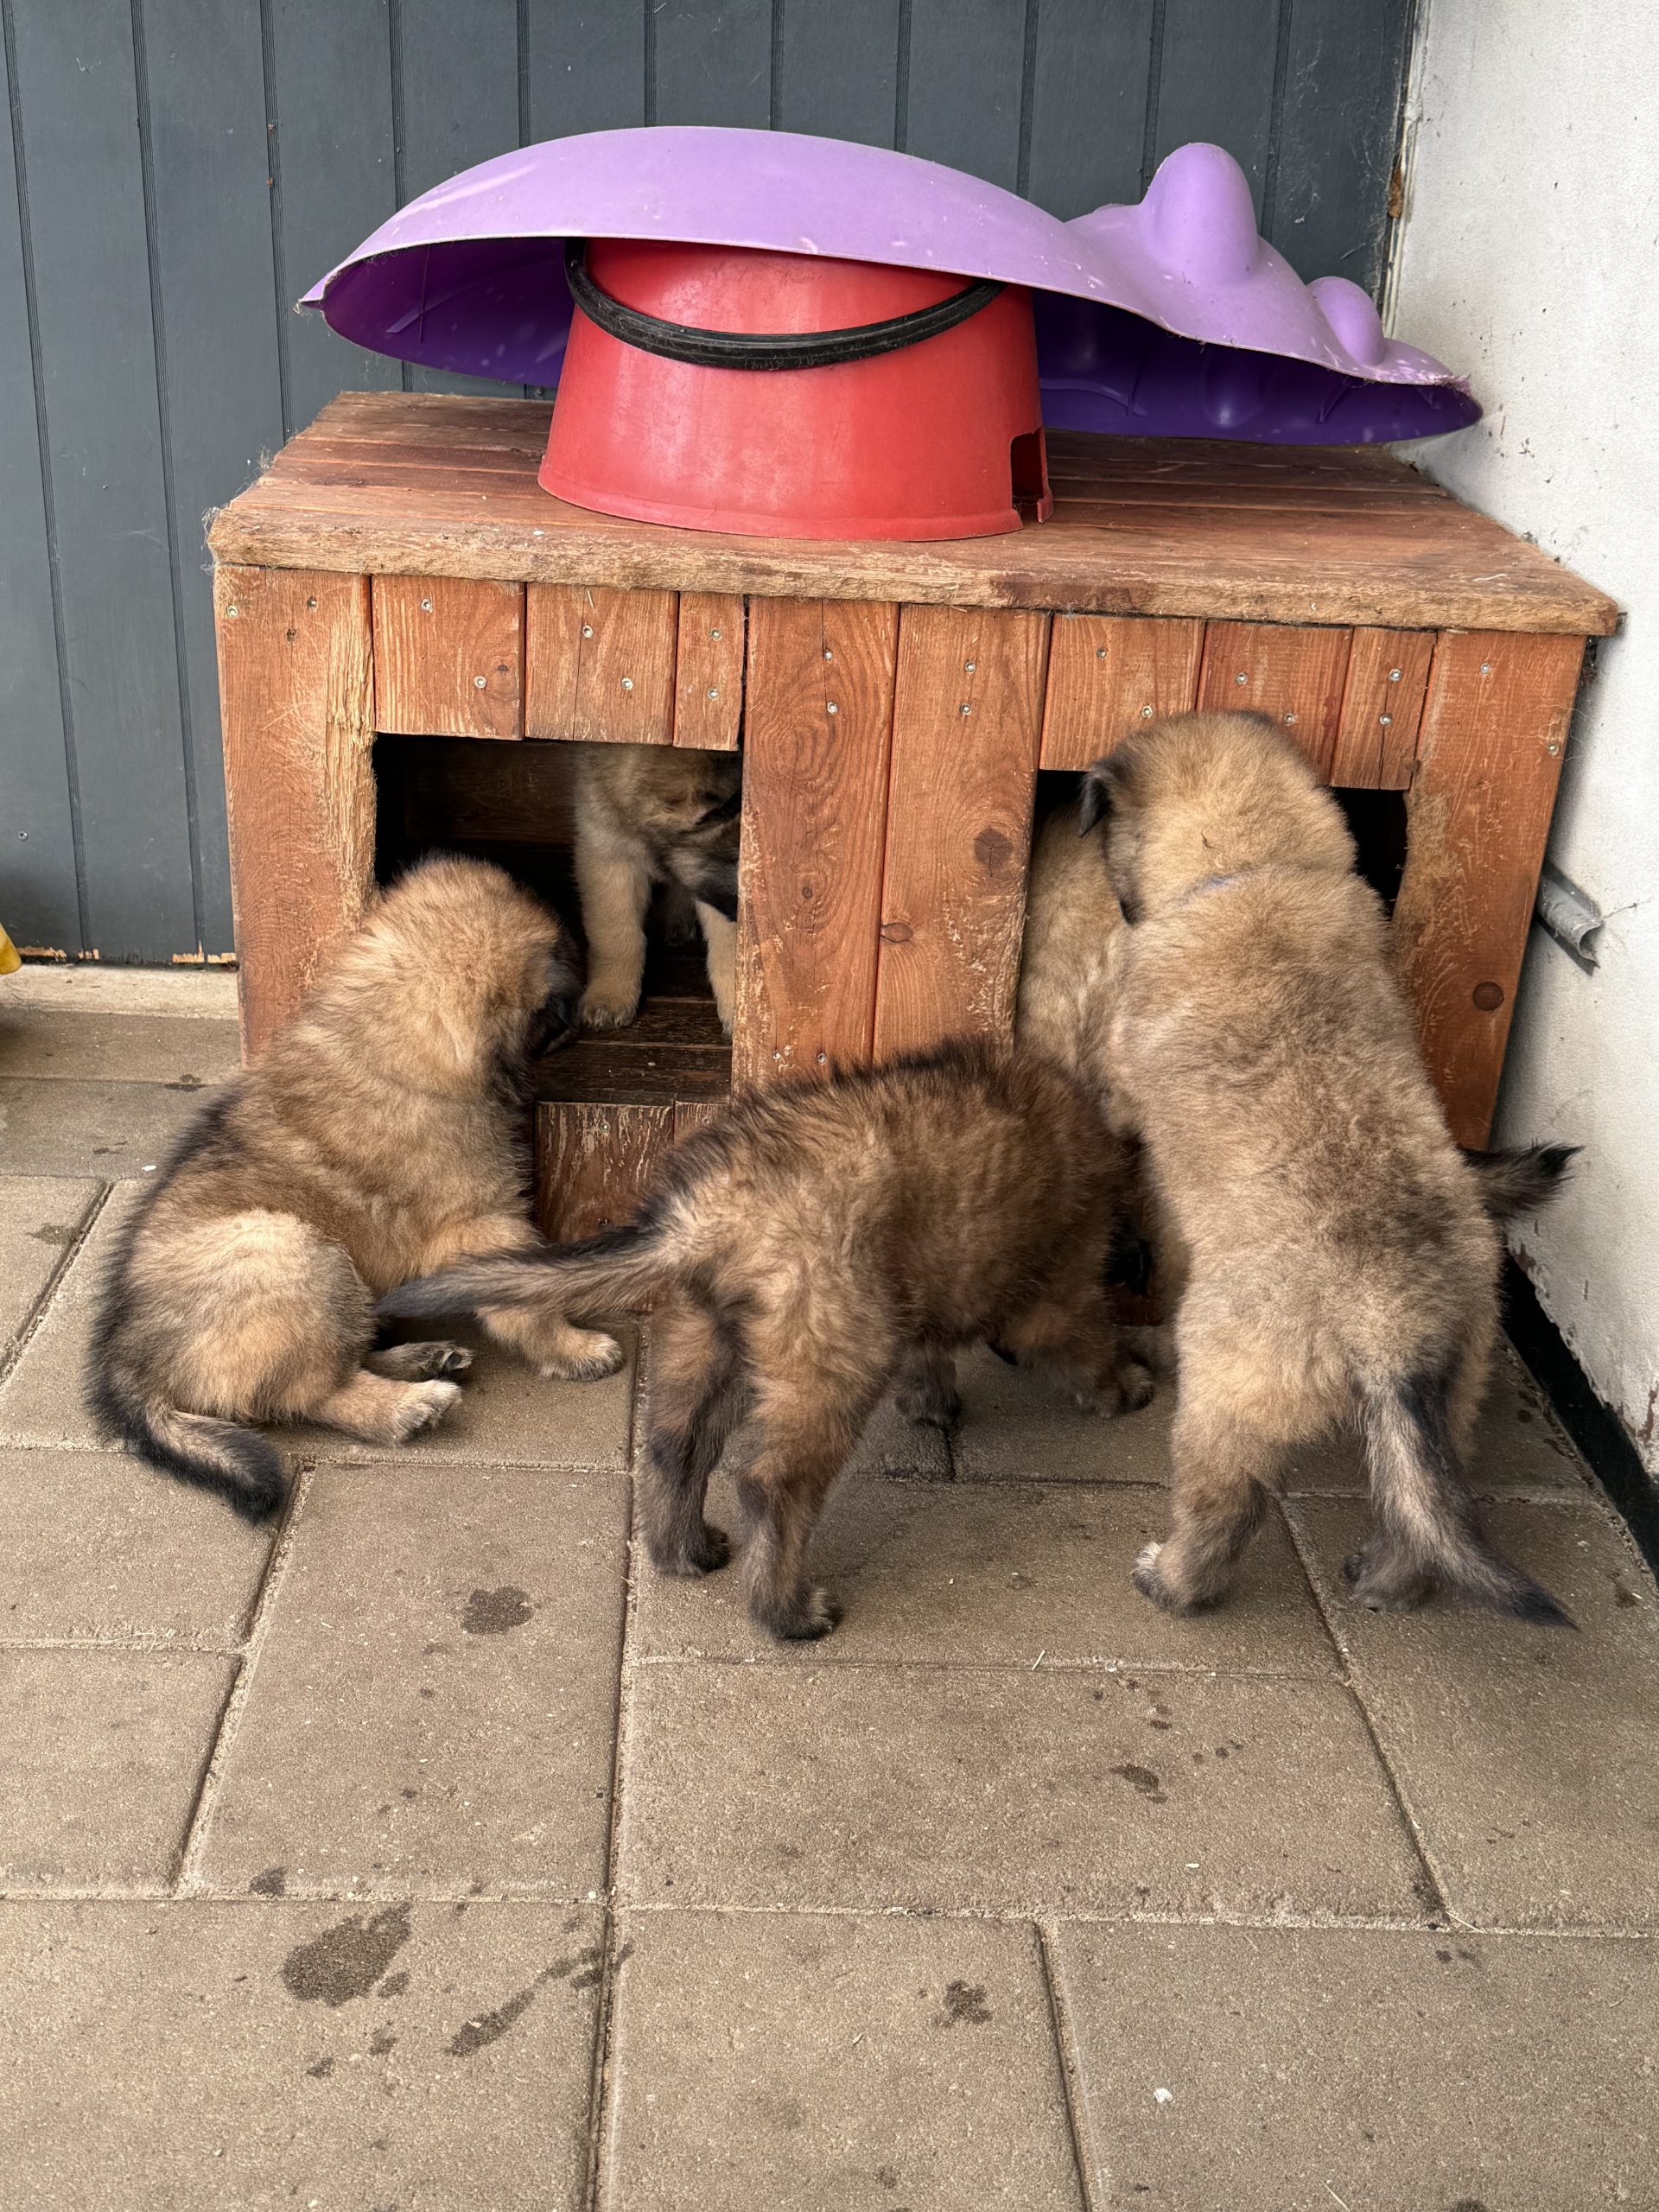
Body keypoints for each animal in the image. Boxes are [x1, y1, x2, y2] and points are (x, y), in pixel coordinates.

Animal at [87, 857, 606, 1521]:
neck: (386, 1038)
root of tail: (131, 1363)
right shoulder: (482, 1221)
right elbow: (528, 1301)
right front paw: (574, 1347)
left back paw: (419, 1360)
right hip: (290, 1252)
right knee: (310, 1391)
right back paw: (403, 1407)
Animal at [381, 1038, 1155, 1640]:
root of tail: (703, 1219)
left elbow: (932, 1349)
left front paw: (933, 1401)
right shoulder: (1062, 1290)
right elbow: (1089, 1339)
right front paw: (1127, 1387)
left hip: (706, 1338)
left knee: (676, 1447)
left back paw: (684, 1552)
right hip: (832, 1350)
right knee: (772, 1485)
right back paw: (787, 1614)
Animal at [1081, 711, 1575, 1624]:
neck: (1250, 865)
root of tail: (1393, 1324)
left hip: (1225, 1399)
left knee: (1220, 1513)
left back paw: (1172, 1580)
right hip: (1452, 1397)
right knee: (1421, 1518)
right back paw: (1384, 1582)